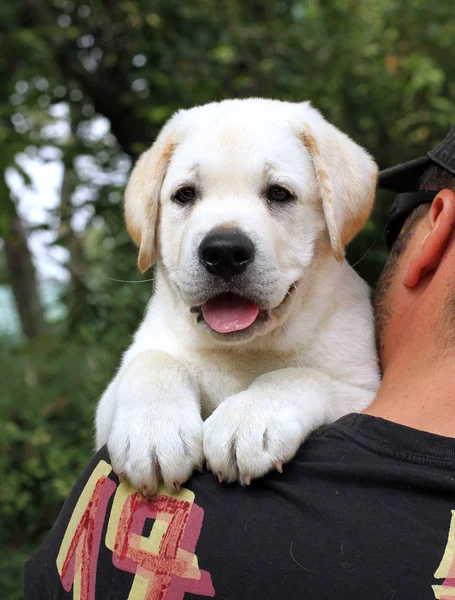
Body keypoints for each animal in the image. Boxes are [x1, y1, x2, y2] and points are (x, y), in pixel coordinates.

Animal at [96, 97, 382, 492]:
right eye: (185, 195)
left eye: (278, 193)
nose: (224, 251)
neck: (243, 349)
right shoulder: (108, 403)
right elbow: (152, 362)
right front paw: (152, 428)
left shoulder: (361, 389)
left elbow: (299, 375)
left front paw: (249, 417)